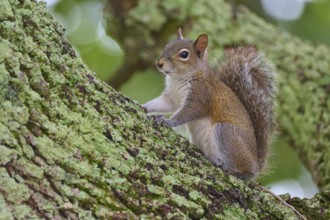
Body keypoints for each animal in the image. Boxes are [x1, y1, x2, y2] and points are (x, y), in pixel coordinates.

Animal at [142, 27, 276, 179]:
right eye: (166, 47)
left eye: (184, 54)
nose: (159, 63)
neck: (179, 78)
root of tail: (256, 164)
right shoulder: (171, 98)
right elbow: (161, 104)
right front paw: (144, 107)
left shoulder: (200, 96)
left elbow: (187, 113)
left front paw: (166, 121)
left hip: (226, 132)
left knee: (243, 171)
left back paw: (226, 166)